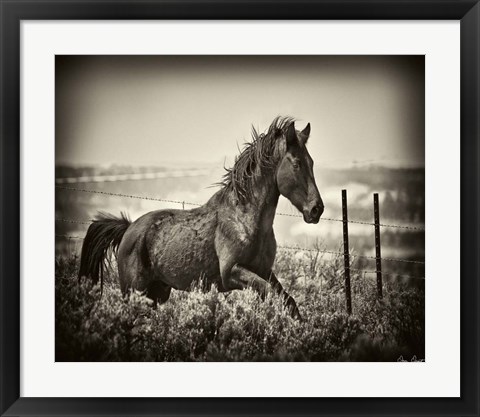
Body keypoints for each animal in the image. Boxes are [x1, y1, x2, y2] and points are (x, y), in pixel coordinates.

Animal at [79, 117, 324, 318]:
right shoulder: (232, 273)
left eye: (312, 162)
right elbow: (272, 294)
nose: (317, 209)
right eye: (296, 163)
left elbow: (289, 302)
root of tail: (129, 229)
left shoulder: (264, 271)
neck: (244, 220)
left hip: (157, 293)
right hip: (134, 291)